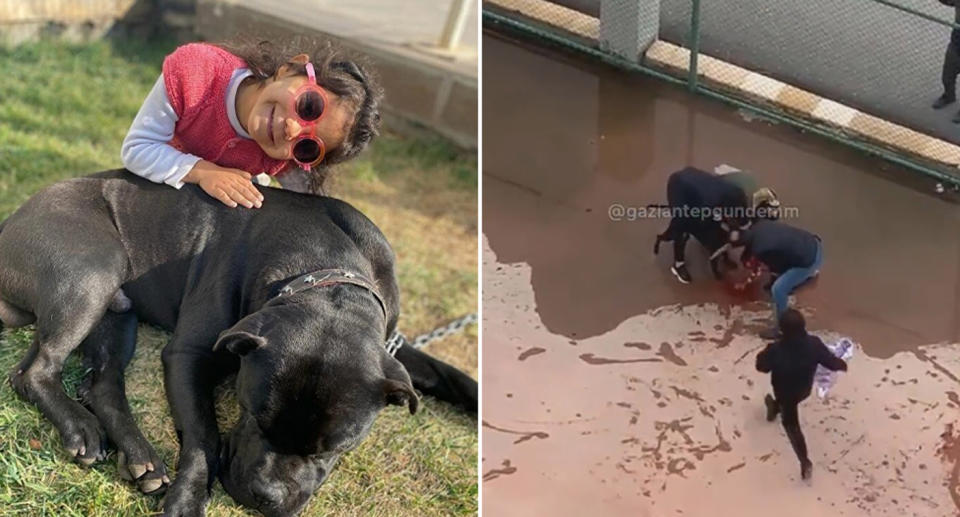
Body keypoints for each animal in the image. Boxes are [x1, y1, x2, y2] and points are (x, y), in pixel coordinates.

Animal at [0, 171, 478, 512]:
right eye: (253, 416)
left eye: (333, 448)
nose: (264, 496)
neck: (323, 273)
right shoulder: (188, 355)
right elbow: (204, 435)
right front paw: (189, 499)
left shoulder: (390, 347)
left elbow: (449, 375)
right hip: (93, 273)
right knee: (34, 371)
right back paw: (79, 427)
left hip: (118, 315)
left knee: (100, 382)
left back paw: (140, 458)